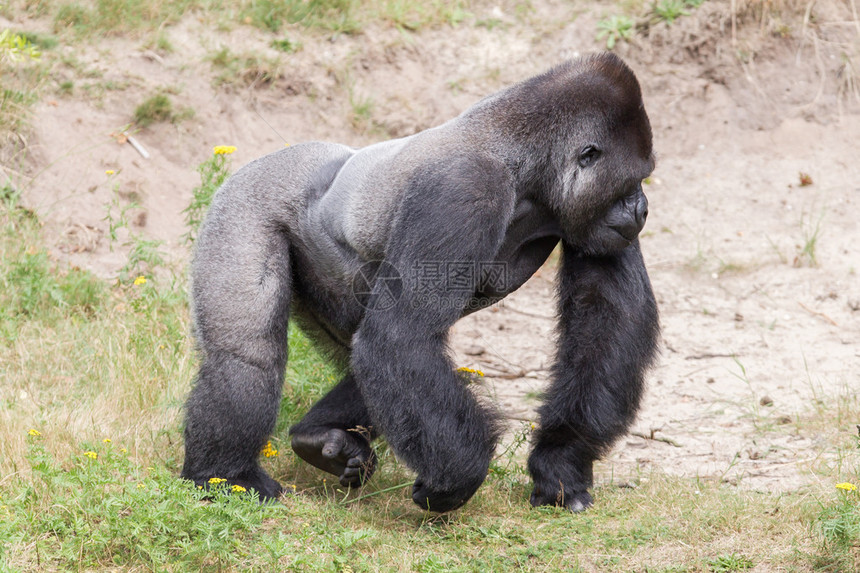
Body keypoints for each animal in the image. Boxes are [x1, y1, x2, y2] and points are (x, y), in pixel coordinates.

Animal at [183, 51, 660, 512]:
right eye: (634, 180)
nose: (642, 209)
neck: (522, 162)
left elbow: (604, 323)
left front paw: (561, 462)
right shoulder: (464, 186)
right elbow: (401, 336)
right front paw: (457, 480)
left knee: (367, 359)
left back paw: (318, 436)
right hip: (245, 201)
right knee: (247, 355)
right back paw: (225, 475)